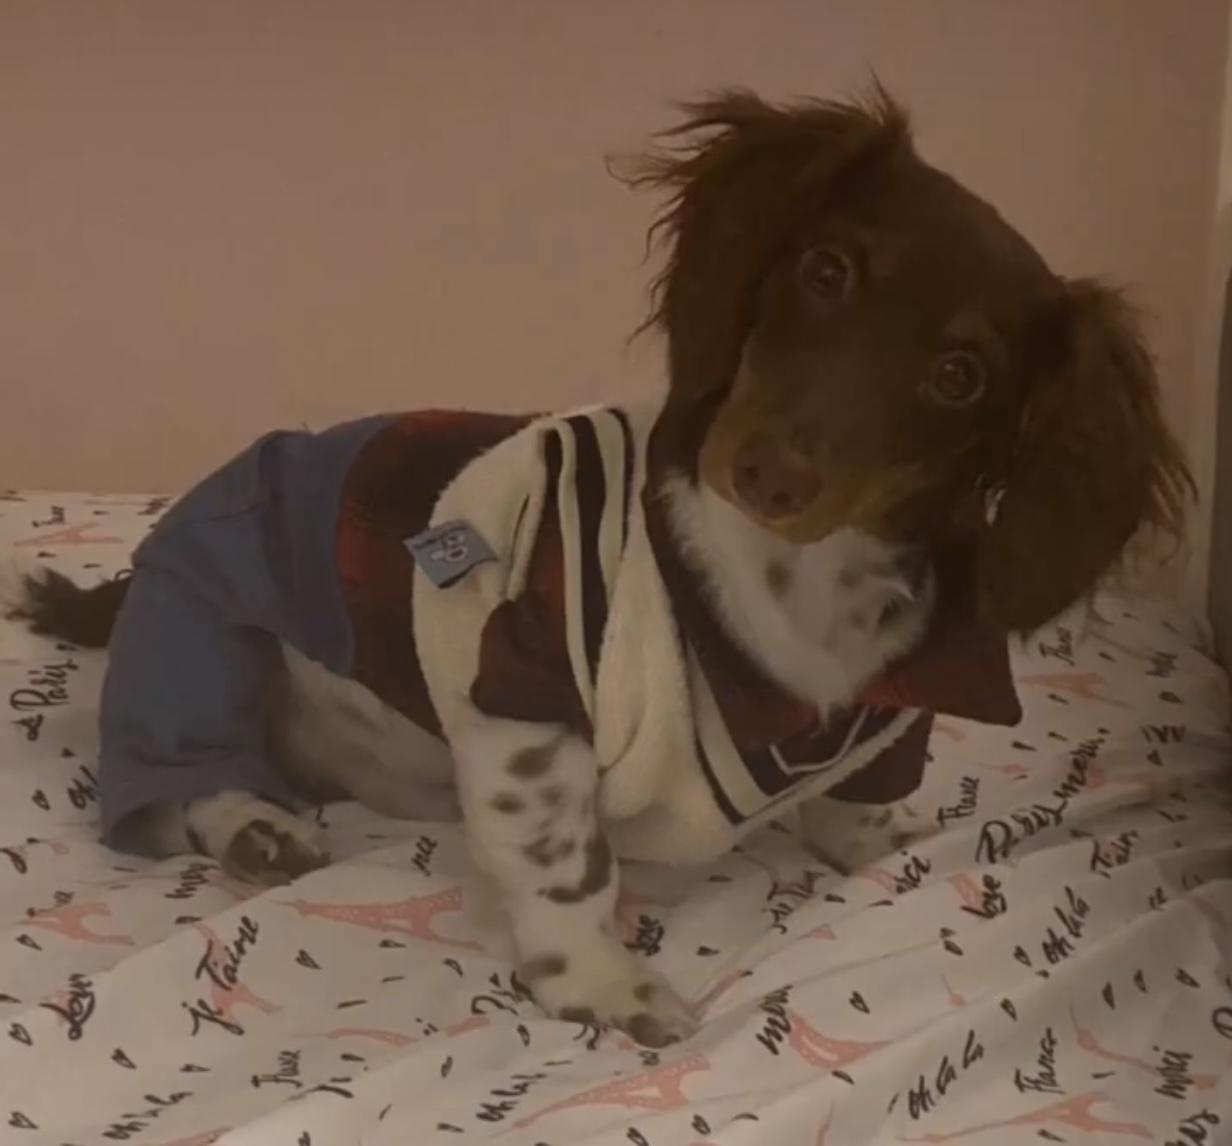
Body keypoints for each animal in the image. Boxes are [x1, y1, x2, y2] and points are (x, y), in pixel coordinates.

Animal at [10, 88, 1191, 1047]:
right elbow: (568, 862)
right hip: (197, 638)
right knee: (178, 776)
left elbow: (855, 805)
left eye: (960, 376)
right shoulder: (527, 691)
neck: (794, 584)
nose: (767, 472)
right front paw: (603, 984)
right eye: (827, 271)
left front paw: (881, 844)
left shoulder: (893, 714)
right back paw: (251, 826)